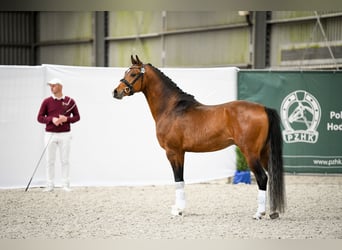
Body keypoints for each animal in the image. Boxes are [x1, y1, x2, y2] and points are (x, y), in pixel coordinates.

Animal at [113, 55, 286, 219]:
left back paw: (259, 213)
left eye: (133, 74)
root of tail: (264, 108)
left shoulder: (172, 152)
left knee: (262, 178)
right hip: (264, 152)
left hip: (251, 153)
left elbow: (178, 179)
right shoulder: (181, 153)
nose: (116, 92)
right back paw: (273, 212)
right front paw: (180, 209)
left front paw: (178, 210)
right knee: (272, 177)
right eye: (125, 72)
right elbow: (181, 179)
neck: (171, 108)